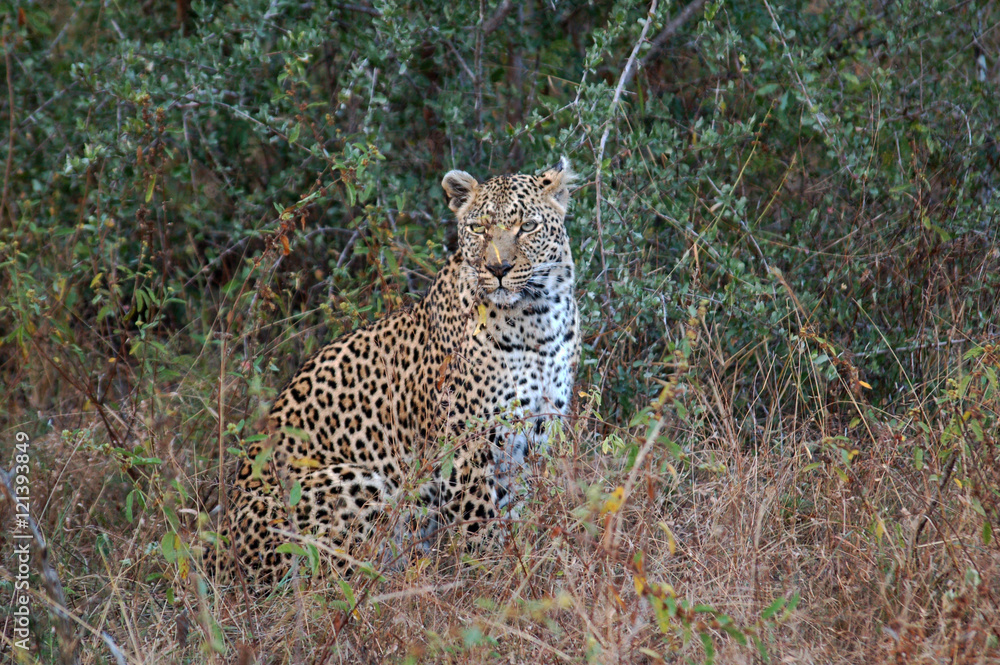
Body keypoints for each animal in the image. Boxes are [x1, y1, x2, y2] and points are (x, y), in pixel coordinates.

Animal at [205, 158, 580, 585]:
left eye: (527, 227)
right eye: (478, 229)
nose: (497, 267)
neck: (537, 319)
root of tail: (220, 552)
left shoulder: (537, 435)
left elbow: (521, 513)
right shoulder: (465, 445)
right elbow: (479, 526)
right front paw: (488, 582)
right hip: (353, 482)